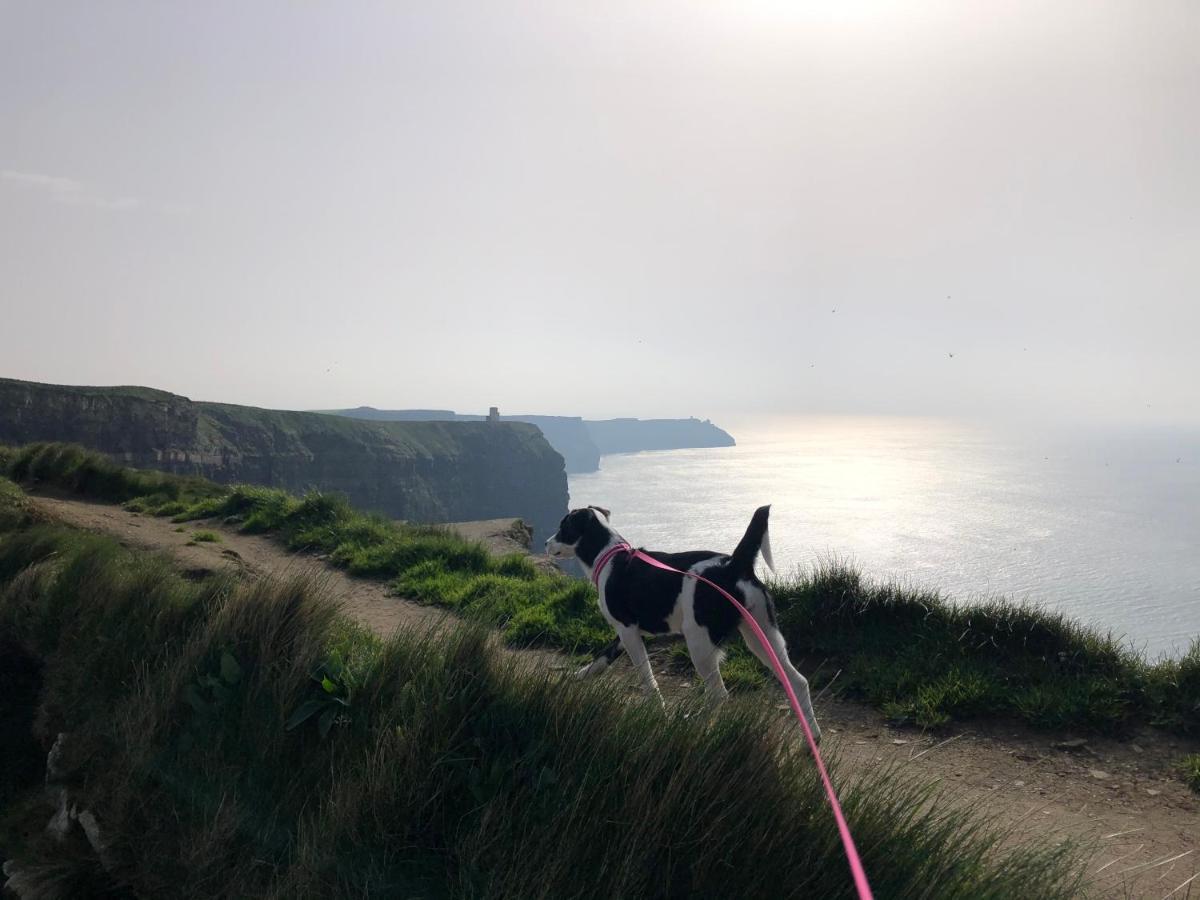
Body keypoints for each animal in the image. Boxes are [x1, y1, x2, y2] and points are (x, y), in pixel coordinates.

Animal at [549, 504, 820, 744]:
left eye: (563, 527)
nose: (545, 543)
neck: (608, 556)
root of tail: (734, 566)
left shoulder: (628, 630)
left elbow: (646, 675)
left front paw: (658, 709)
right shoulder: (625, 633)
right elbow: (602, 659)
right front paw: (578, 676)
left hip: (700, 644)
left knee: (719, 695)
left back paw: (693, 720)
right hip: (764, 637)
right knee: (798, 681)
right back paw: (812, 737)